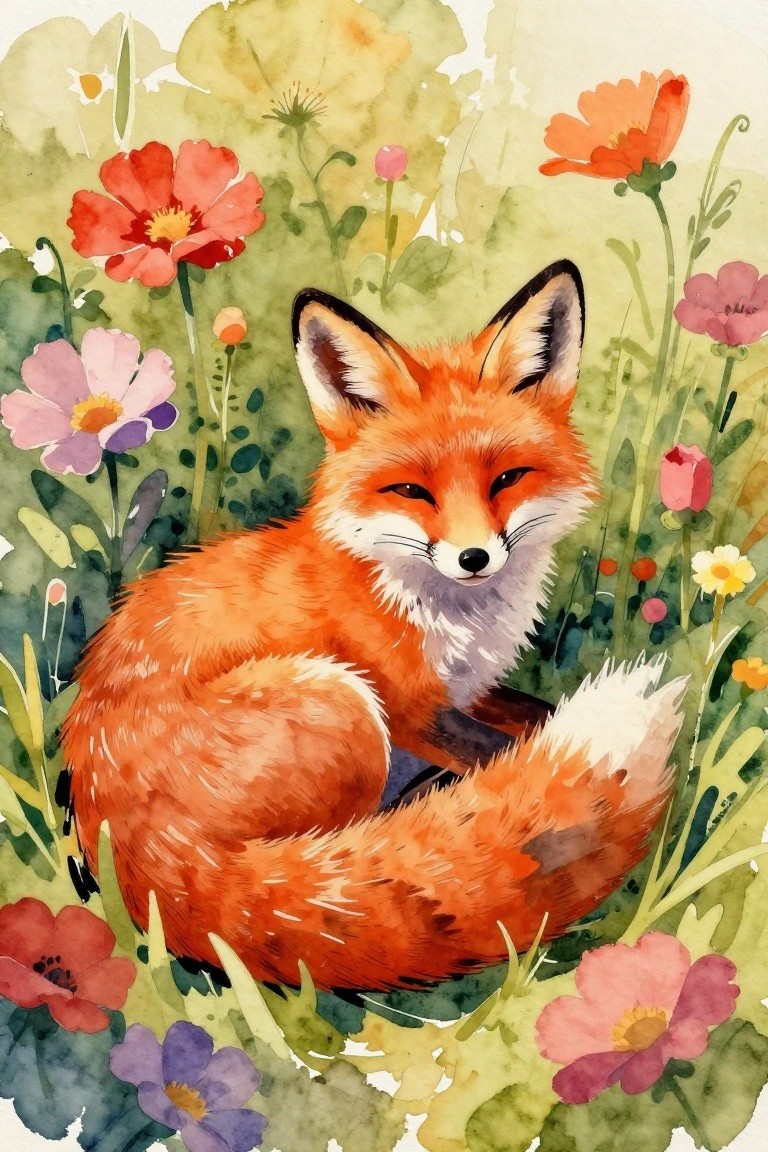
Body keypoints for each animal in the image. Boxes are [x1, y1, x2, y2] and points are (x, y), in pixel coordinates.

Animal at [62, 260, 687, 992]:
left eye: (507, 478)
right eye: (412, 491)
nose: (474, 558)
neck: (444, 614)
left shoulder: (467, 691)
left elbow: (535, 715)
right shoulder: (412, 708)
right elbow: (504, 749)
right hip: (345, 709)